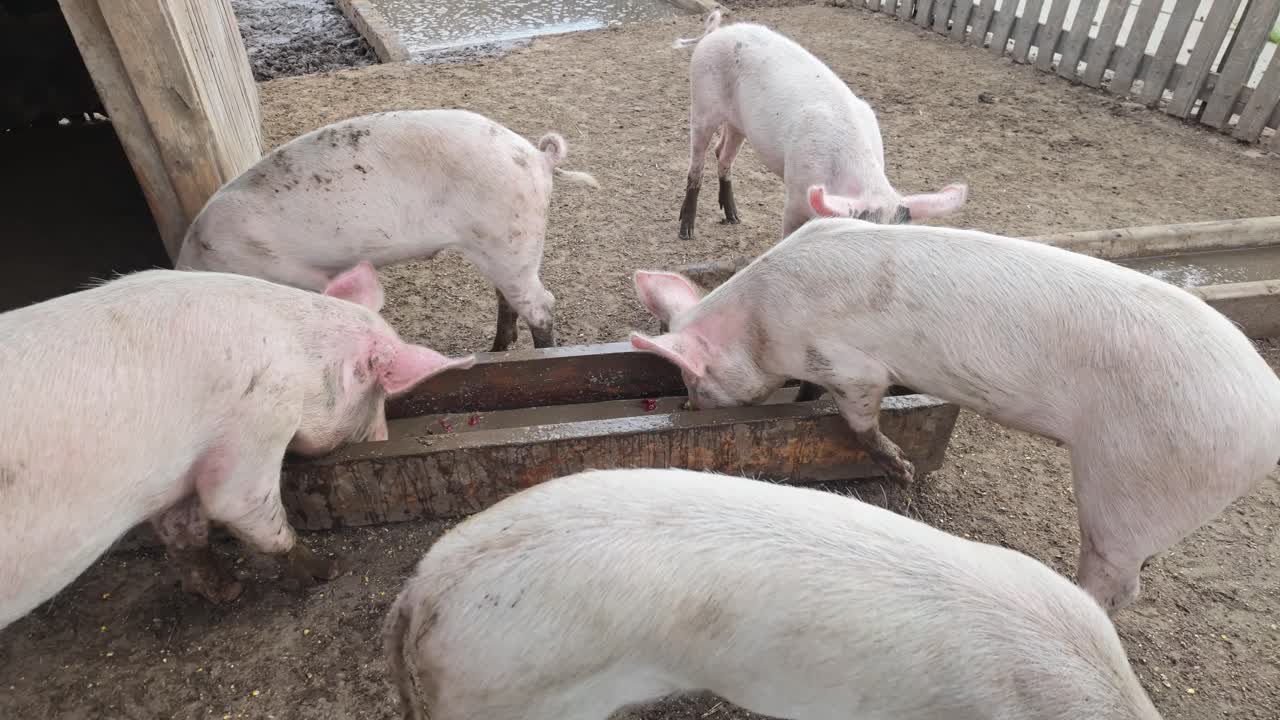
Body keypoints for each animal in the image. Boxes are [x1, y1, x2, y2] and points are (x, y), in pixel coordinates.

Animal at [0, 263, 474, 629]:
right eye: (378, 396)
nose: (382, 438)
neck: (300, 361)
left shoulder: (179, 476)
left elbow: (183, 530)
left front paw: (228, 591)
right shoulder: (260, 418)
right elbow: (240, 508)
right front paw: (329, 571)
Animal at [175, 109, 599, 352]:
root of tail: (537, 156)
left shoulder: (294, 272)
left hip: (511, 233)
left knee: (542, 305)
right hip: (500, 246)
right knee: (508, 298)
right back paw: (491, 352)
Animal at [626, 210, 1280, 614]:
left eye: (695, 380)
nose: (686, 404)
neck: (760, 324)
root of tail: (1265, 412)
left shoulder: (854, 367)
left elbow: (858, 416)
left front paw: (901, 471)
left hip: (1134, 483)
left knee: (1116, 583)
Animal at [673, 9, 968, 240]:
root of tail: (715, 32)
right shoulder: (794, 193)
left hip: (739, 124)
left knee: (723, 155)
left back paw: (734, 217)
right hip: (701, 104)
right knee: (696, 164)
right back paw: (687, 231)